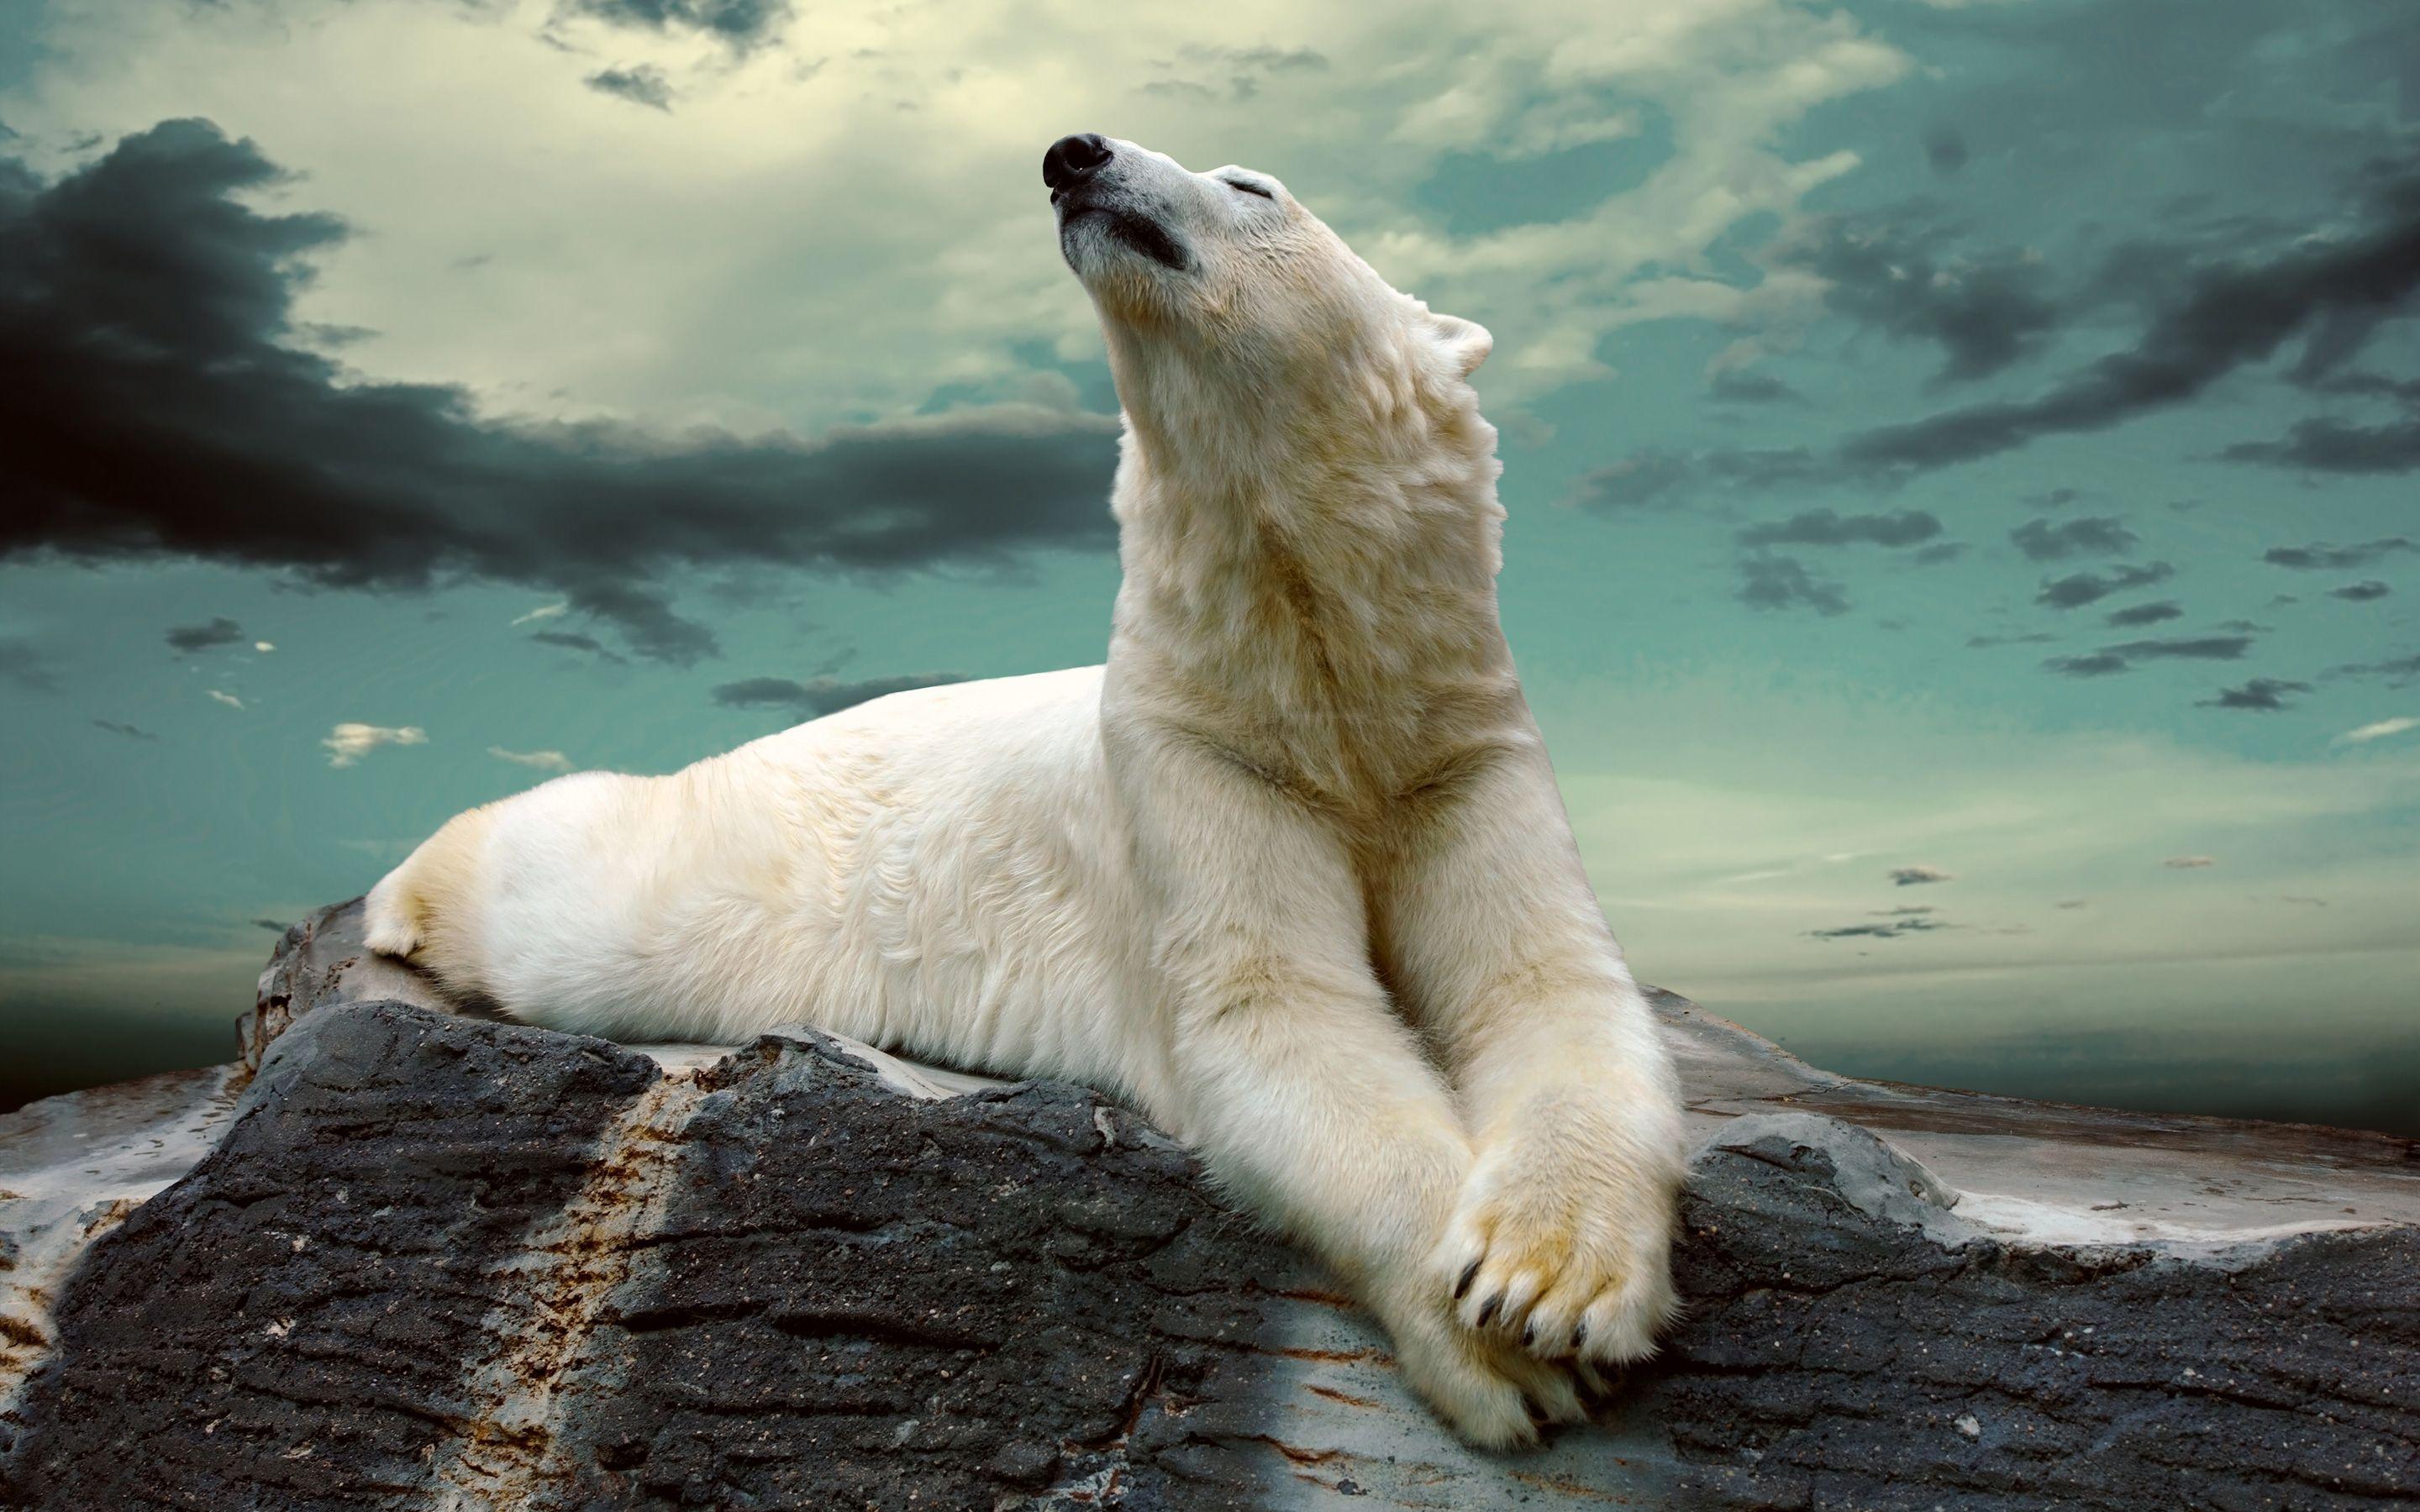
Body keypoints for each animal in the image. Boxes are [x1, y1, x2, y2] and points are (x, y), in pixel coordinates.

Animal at [364, 133, 1685, 1447]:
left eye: (1253, 186)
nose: (1074, 154)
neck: (1317, 678)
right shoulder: (1191, 756)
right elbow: (1277, 1012)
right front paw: (1503, 1353)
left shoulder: (1457, 747)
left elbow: (1547, 984)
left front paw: (1548, 1280)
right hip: (739, 867)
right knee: (577, 907)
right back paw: (401, 902)